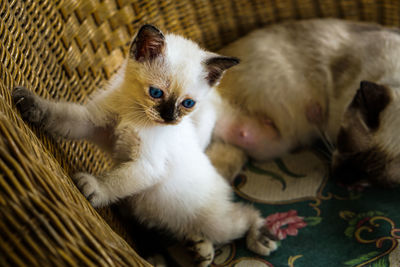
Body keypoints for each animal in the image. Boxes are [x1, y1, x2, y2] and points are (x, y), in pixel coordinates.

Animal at [11, 24, 276, 266]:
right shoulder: (91, 123)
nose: (169, 117)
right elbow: (58, 115)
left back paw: (260, 238)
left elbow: (116, 181)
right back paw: (200, 250)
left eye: (188, 103)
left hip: (217, 223)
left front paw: (94, 188)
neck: (134, 113)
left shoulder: (147, 166)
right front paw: (28, 103)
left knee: (245, 215)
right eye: (156, 93)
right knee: (193, 231)